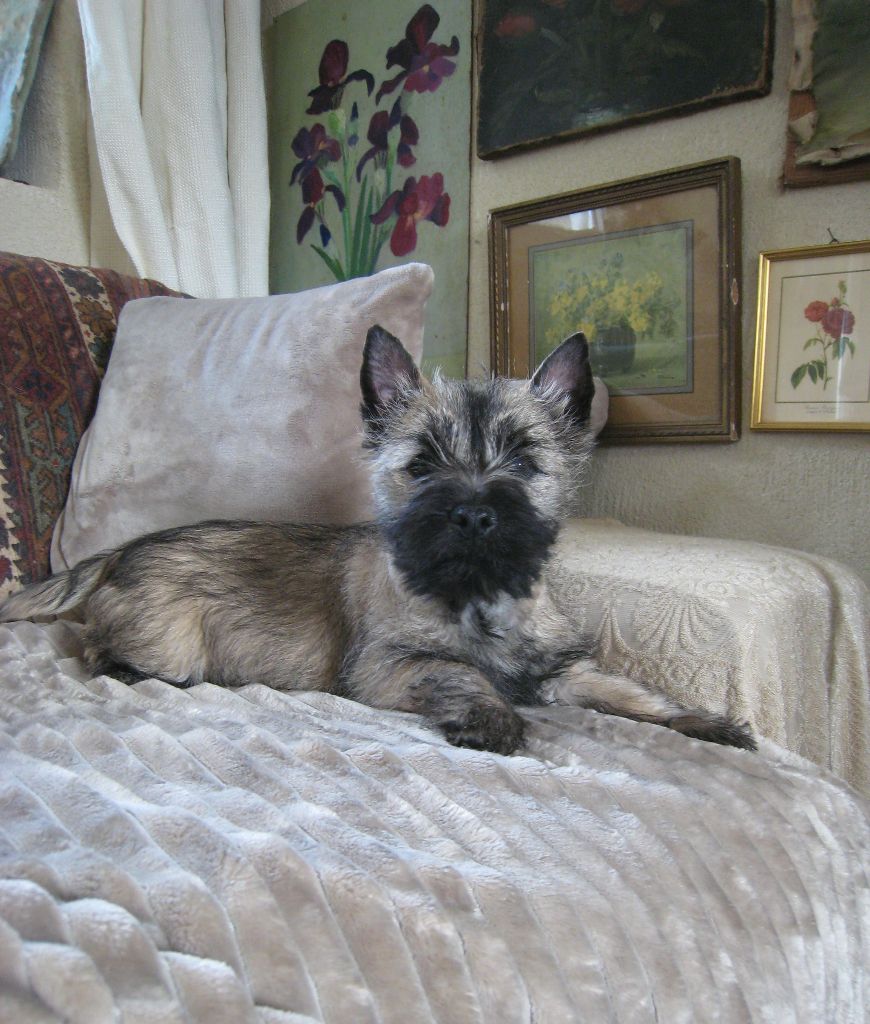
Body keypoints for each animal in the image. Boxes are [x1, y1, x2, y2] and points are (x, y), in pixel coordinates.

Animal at [0, 326, 755, 755]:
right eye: (421, 465)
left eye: (523, 463)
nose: (473, 515)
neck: (477, 599)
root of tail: (117, 554)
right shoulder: (389, 666)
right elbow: (462, 672)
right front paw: (493, 718)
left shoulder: (565, 671)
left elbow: (634, 693)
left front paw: (705, 721)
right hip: (168, 639)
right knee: (98, 647)